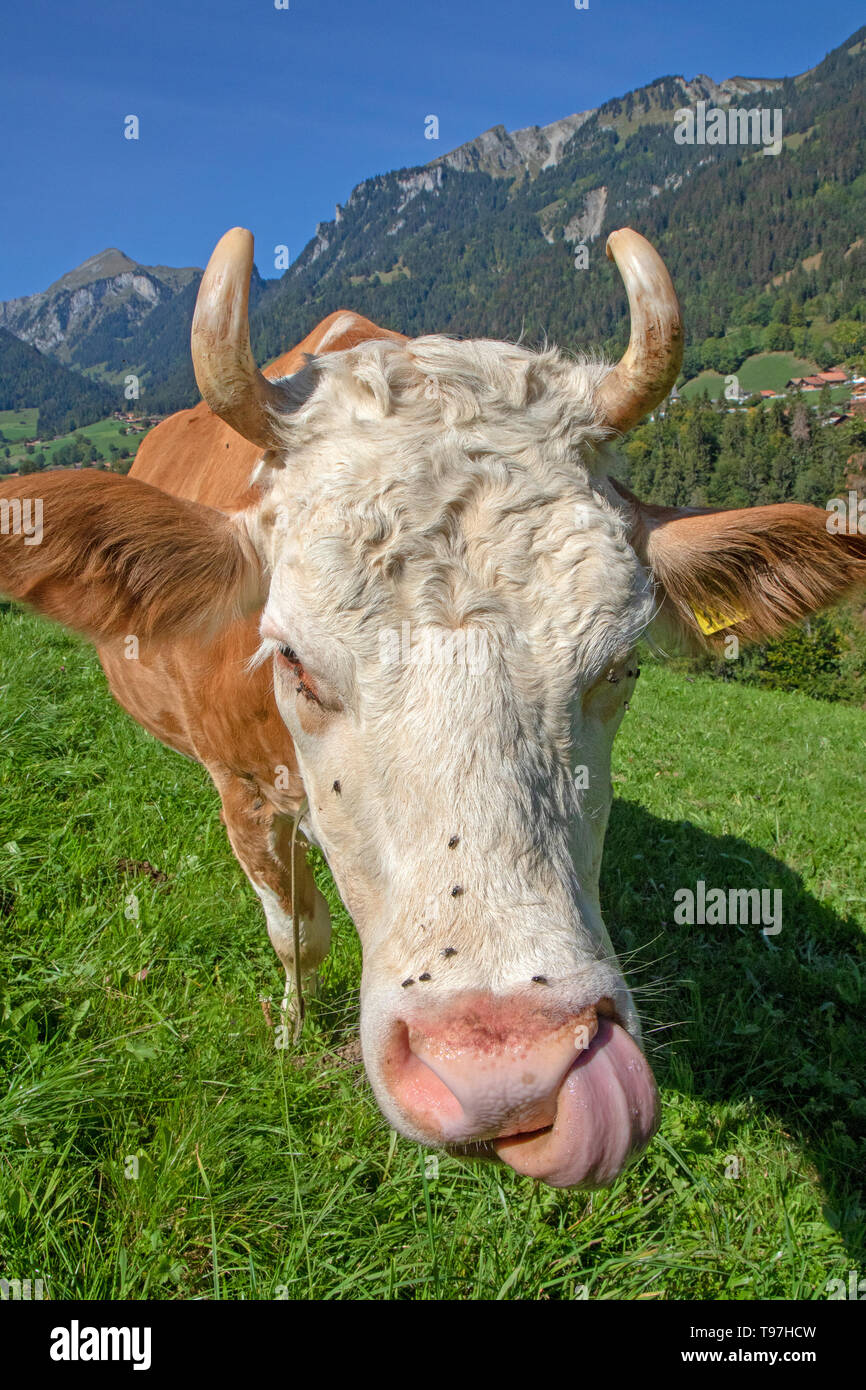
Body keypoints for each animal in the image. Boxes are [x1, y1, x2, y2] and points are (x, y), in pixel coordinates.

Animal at [1, 225, 866, 1184]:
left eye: (622, 660)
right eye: (293, 659)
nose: (508, 1069)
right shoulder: (241, 789)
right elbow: (296, 933)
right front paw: (291, 1034)